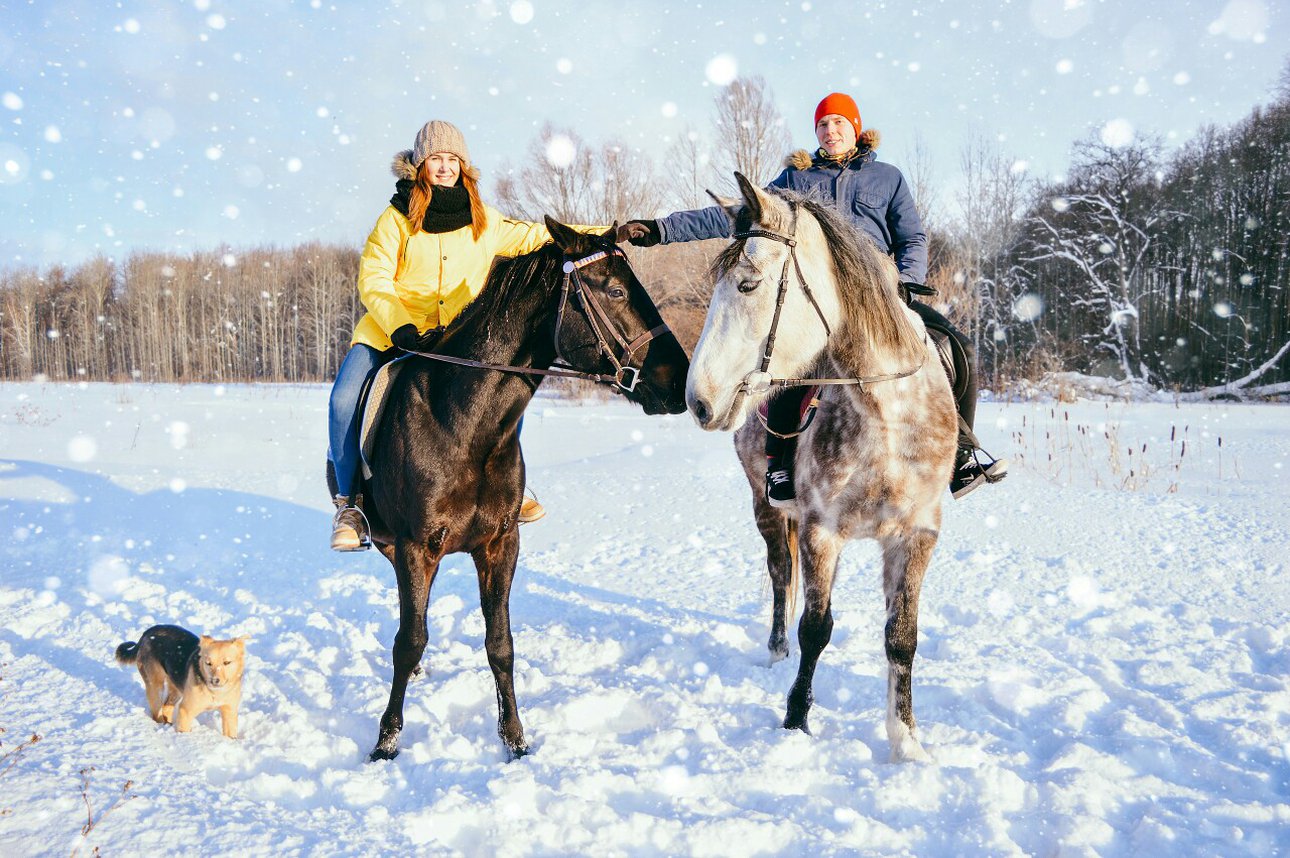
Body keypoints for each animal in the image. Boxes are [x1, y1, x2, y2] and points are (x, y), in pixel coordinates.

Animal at [329, 219, 690, 762]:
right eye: (616, 291)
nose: (680, 379)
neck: (461, 423)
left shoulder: (501, 544)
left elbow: (500, 644)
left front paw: (515, 739)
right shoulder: (416, 546)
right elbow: (409, 640)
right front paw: (386, 742)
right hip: (394, 543)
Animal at [685, 173, 958, 762]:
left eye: (748, 284)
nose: (699, 400)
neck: (886, 419)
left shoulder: (917, 535)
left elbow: (902, 636)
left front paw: (905, 740)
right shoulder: (819, 530)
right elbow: (815, 628)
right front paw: (794, 721)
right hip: (766, 507)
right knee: (778, 575)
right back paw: (775, 650)